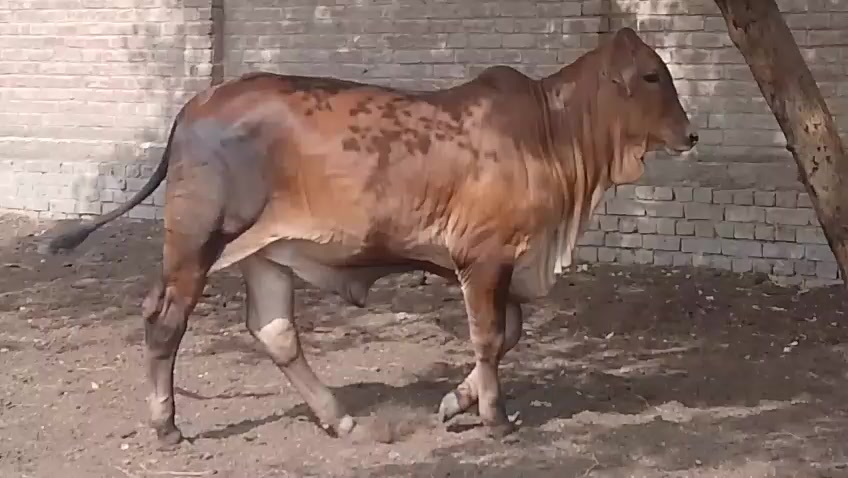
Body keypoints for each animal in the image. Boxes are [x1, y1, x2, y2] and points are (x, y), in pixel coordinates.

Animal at [47, 27, 697, 446]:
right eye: (650, 75)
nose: (691, 135)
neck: (552, 134)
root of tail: (197, 103)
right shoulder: (484, 258)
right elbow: (490, 338)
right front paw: (495, 419)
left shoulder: (497, 263)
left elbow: (509, 333)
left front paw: (454, 402)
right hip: (196, 240)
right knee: (165, 323)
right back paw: (166, 426)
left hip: (264, 252)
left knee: (275, 331)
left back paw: (339, 419)